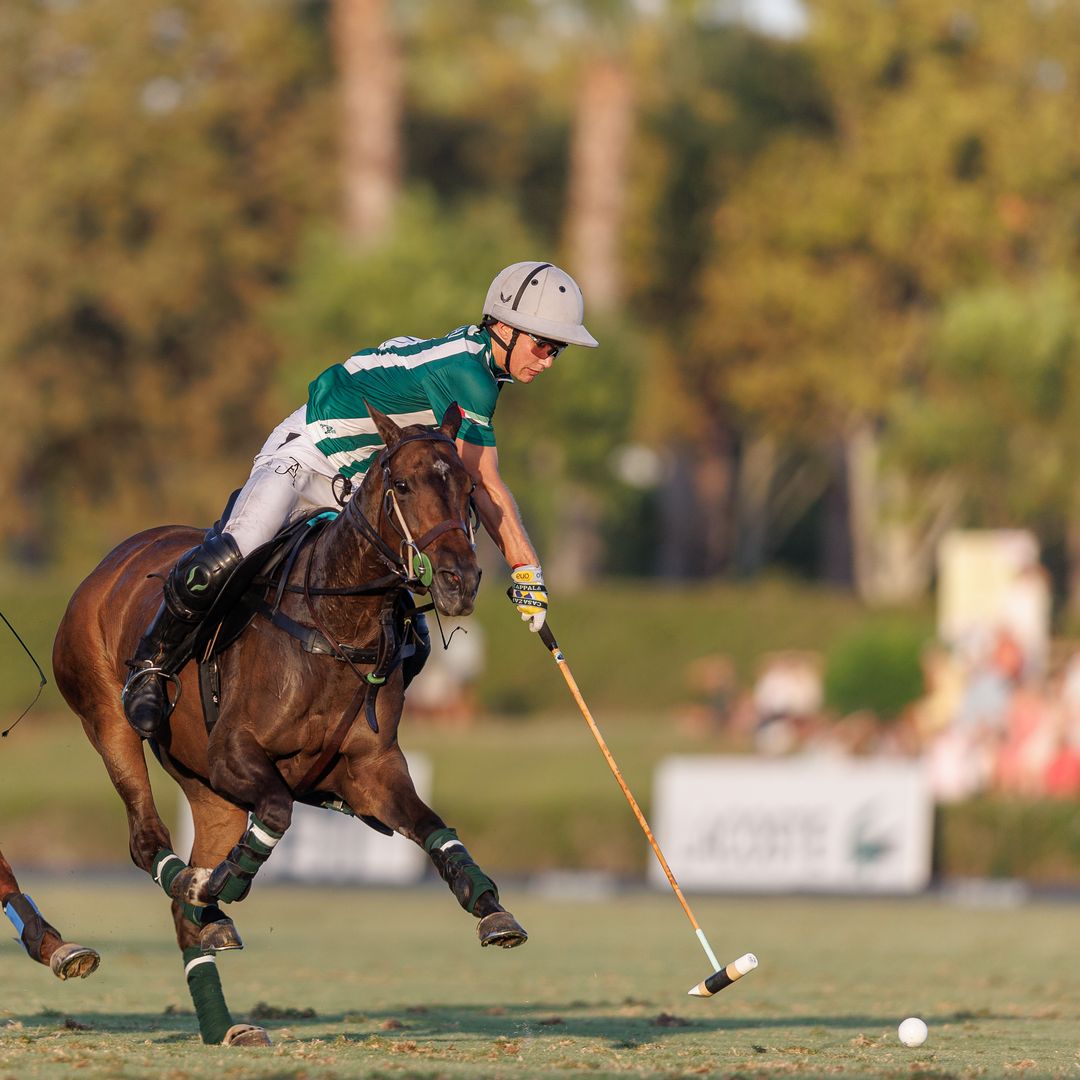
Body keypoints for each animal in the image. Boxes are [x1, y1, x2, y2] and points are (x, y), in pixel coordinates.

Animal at [54, 406, 527, 1045]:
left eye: (469, 490)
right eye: (403, 485)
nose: (460, 580)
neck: (335, 623)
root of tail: (110, 561)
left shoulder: (370, 770)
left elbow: (433, 825)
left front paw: (488, 904)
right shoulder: (236, 751)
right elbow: (277, 810)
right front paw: (222, 885)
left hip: (211, 791)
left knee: (185, 908)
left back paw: (223, 1005)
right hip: (110, 721)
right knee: (146, 840)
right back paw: (198, 888)